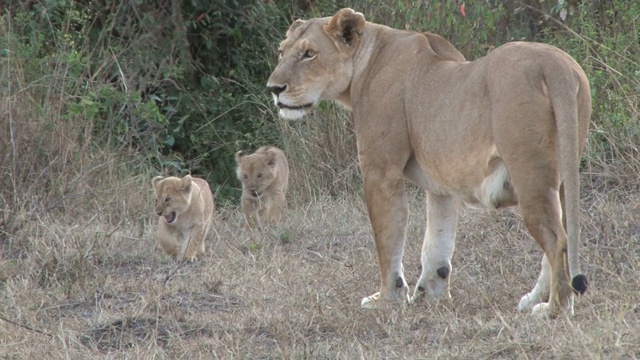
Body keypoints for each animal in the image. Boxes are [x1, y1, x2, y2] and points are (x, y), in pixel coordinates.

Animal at [268, 8, 592, 316]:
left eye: (309, 54)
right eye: (282, 52)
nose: (274, 89)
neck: (365, 62)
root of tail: (555, 63)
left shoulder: (380, 171)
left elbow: (387, 238)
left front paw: (387, 298)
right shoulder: (441, 185)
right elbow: (437, 240)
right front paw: (430, 293)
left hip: (528, 173)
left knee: (557, 239)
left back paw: (554, 309)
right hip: (562, 170)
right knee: (562, 235)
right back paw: (536, 300)